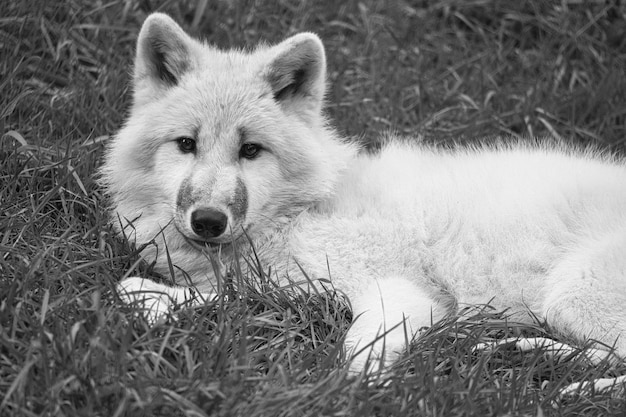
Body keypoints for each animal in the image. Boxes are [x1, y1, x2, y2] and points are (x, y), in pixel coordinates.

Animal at [101, 12, 624, 390]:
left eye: (250, 150)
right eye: (186, 144)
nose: (207, 221)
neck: (307, 208)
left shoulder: (404, 294)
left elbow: (355, 352)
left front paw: (350, 392)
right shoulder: (290, 284)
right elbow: (224, 295)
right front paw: (154, 298)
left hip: (571, 293)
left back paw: (570, 387)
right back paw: (522, 352)